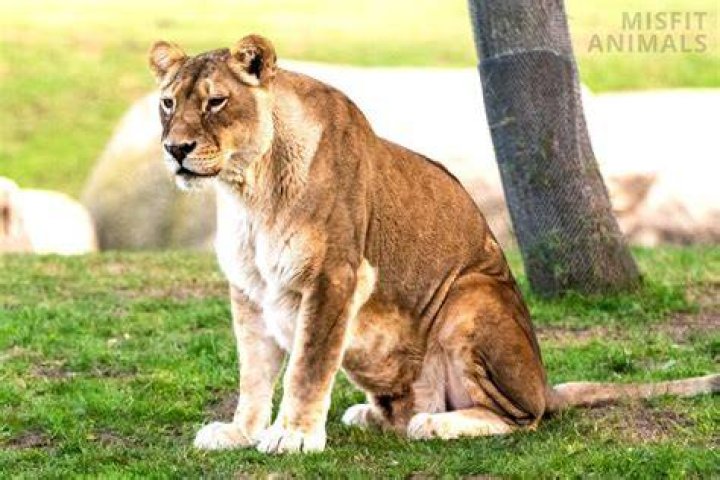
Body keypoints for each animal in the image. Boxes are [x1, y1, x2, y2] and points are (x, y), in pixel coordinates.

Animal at [147, 35, 718, 454]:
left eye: (216, 102)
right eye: (168, 103)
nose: (175, 149)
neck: (249, 191)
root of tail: (544, 383)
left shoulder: (337, 275)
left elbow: (308, 366)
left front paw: (293, 436)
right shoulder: (249, 289)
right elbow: (254, 374)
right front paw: (240, 432)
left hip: (471, 295)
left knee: (524, 418)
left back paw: (436, 424)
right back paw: (373, 414)